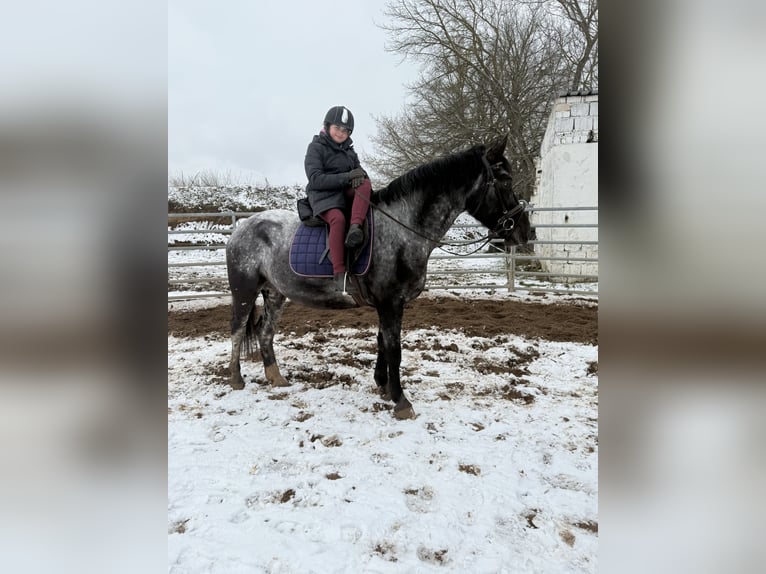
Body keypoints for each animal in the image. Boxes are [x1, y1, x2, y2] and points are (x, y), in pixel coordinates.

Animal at [225, 137, 532, 420]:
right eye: (505, 181)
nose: (524, 232)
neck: (402, 230)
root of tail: (242, 227)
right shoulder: (390, 302)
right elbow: (394, 349)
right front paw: (401, 401)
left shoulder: (389, 303)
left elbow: (382, 342)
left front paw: (383, 387)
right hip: (244, 289)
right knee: (238, 329)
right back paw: (236, 378)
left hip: (275, 292)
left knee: (265, 331)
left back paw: (276, 378)